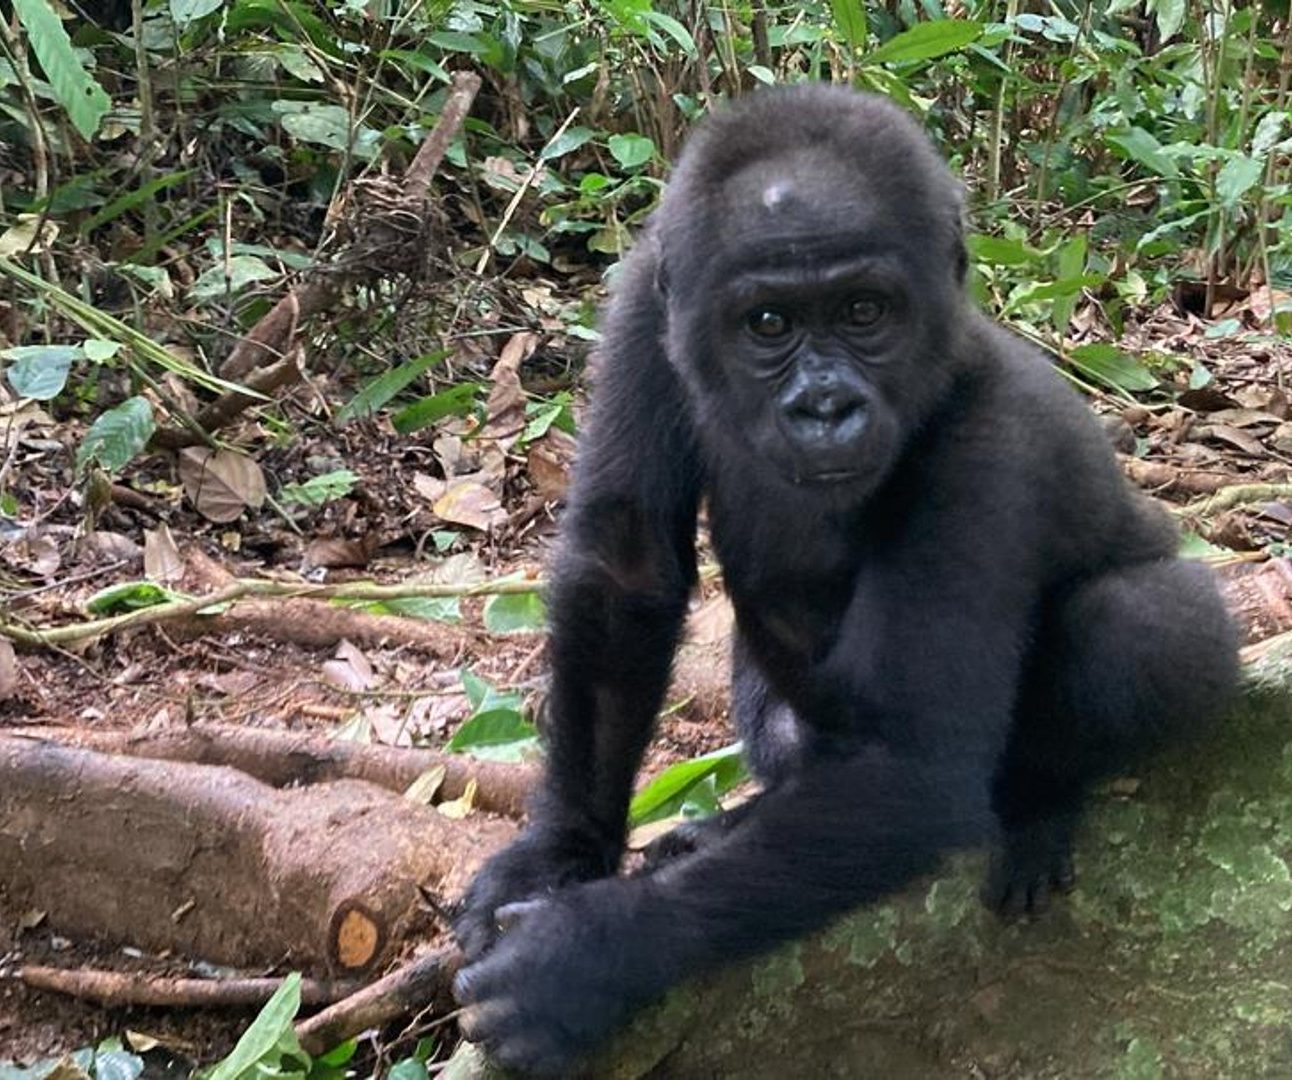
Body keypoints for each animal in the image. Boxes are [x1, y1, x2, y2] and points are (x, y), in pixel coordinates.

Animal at [449, 88, 1235, 1074]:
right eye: (769, 325)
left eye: (865, 311)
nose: (826, 407)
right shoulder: (642, 309)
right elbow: (624, 570)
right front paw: (560, 851)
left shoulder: (994, 437)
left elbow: (912, 764)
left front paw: (591, 954)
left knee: (1139, 622)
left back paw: (1036, 803)